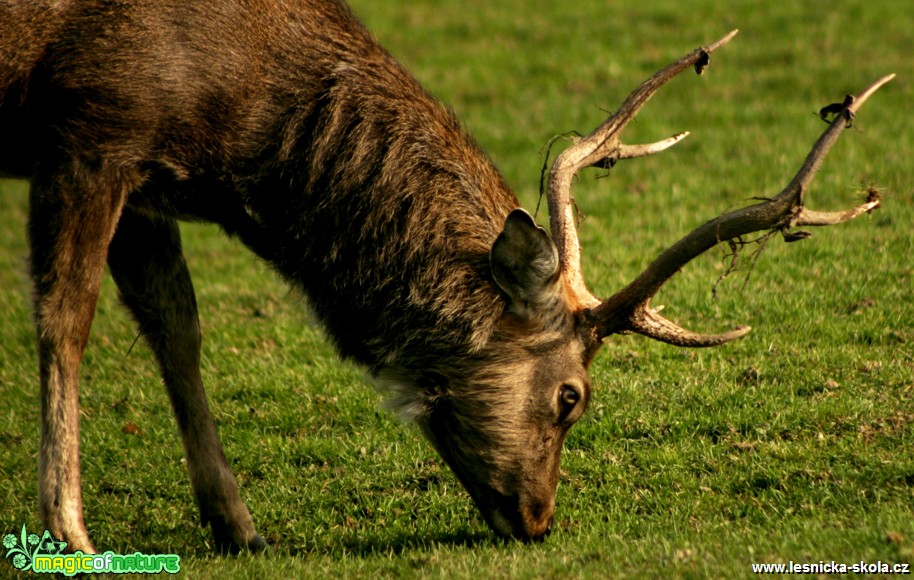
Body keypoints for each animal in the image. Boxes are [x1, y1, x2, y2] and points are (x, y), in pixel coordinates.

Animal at [0, 0, 888, 556]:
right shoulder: (93, 129)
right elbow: (63, 319)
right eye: (572, 398)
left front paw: (238, 524)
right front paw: (68, 528)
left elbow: (176, 328)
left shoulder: (149, 179)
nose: (539, 518)